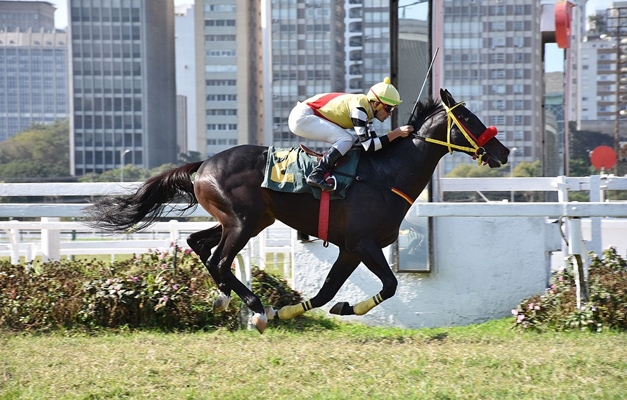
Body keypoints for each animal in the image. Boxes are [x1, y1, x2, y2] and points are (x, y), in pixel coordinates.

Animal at [83, 88, 512, 334]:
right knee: (220, 259)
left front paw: (297, 311)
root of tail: (203, 164)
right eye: (468, 118)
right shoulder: (364, 243)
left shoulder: (350, 249)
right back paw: (255, 308)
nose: (503, 151)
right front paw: (285, 311)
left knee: (198, 243)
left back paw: (226, 297)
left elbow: (326, 293)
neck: (384, 174)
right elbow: (389, 285)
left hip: (246, 221)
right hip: (242, 221)